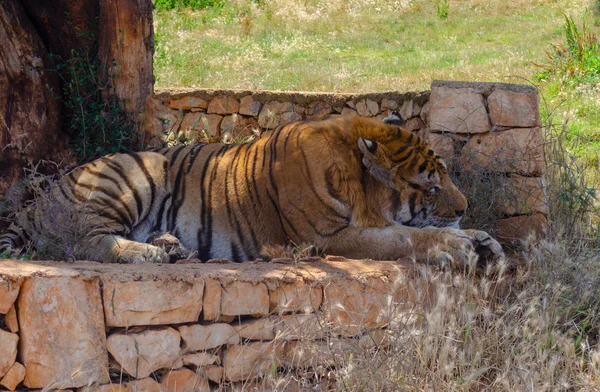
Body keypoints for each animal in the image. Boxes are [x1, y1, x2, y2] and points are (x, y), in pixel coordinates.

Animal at [1, 114, 502, 266]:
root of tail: (37, 201)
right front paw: (456, 244)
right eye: (431, 187)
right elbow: (403, 237)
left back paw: (170, 245)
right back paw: (151, 253)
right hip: (130, 173)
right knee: (85, 242)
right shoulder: (326, 239)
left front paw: (483, 239)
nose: (465, 206)